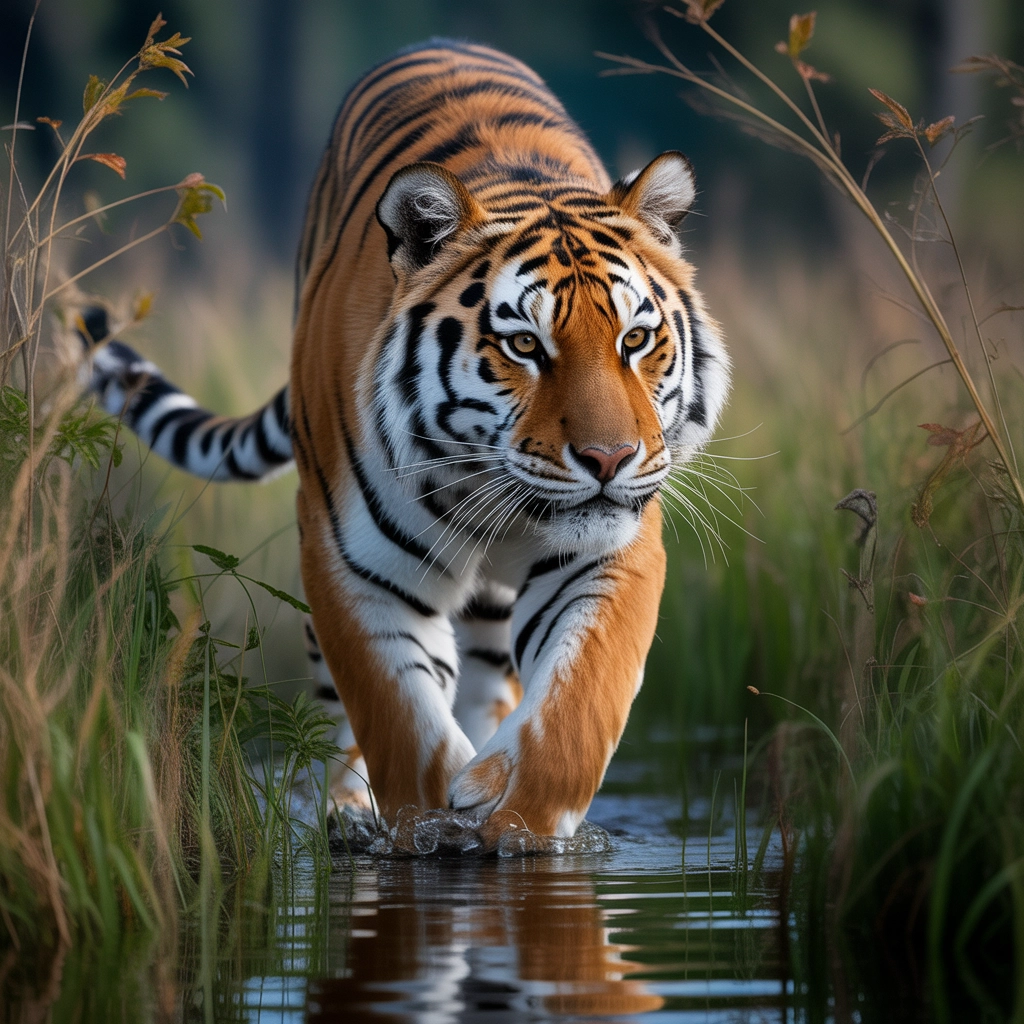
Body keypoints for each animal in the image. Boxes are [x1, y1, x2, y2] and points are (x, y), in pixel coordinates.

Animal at [79, 40, 730, 845]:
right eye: (524, 345)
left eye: (635, 340)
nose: (609, 461)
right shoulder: (354, 566)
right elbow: (400, 722)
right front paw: (432, 823)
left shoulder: (609, 553)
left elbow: (577, 707)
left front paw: (513, 821)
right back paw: (349, 810)